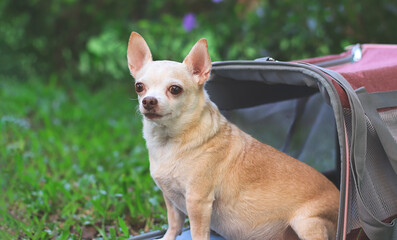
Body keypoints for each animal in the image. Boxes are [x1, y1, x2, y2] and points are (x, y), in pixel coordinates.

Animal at [127, 32, 338, 240]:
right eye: (139, 87)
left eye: (175, 89)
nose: (148, 101)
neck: (169, 140)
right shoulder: (170, 198)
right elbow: (174, 224)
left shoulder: (197, 201)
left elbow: (197, 232)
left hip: (307, 222)